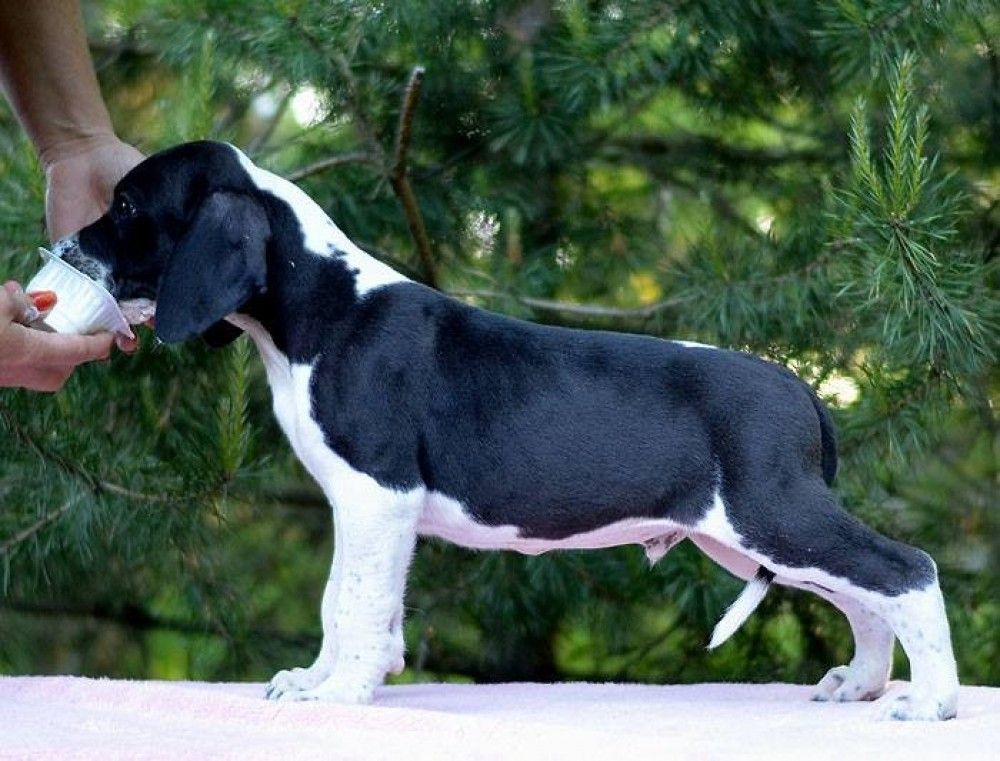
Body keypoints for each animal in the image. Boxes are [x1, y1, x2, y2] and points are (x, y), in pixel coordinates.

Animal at [61, 140, 958, 720]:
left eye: (127, 204)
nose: (65, 247)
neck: (324, 303)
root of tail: (801, 388)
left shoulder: (379, 495)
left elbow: (353, 600)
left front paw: (341, 693)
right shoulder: (363, 508)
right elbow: (343, 599)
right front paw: (327, 677)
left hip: (771, 513)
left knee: (904, 569)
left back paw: (934, 701)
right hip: (748, 534)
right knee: (862, 593)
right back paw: (862, 684)